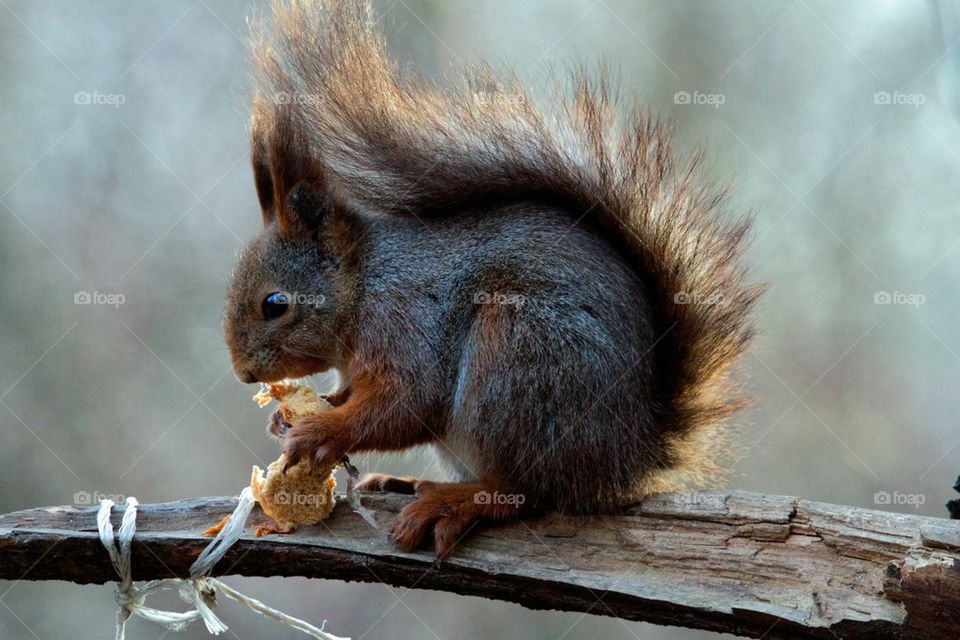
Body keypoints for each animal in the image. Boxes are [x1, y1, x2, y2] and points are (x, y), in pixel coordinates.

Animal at [223, 0, 761, 559]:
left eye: (275, 303)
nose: (243, 372)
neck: (365, 283)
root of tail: (626, 457)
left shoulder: (407, 322)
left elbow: (406, 404)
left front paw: (321, 428)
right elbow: (358, 396)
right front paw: (289, 416)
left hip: (517, 364)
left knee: (524, 491)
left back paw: (453, 502)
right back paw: (408, 483)